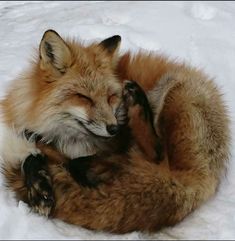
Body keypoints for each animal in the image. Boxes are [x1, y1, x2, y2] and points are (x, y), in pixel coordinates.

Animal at [0, 29, 230, 233]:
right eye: (84, 97)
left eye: (110, 97)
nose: (114, 128)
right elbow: (28, 155)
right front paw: (39, 187)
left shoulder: (114, 140)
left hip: (175, 92)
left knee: (154, 154)